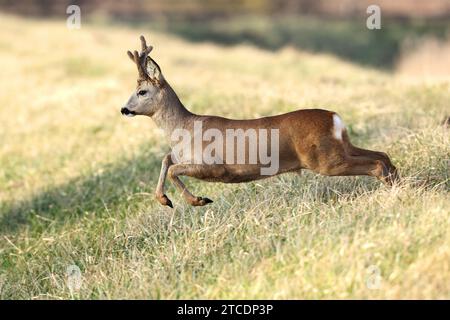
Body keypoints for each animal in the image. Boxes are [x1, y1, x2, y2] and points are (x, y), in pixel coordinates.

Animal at [121, 36, 400, 209]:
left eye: (142, 92)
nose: (124, 109)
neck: (184, 129)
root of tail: (335, 118)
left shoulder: (214, 166)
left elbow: (173, 168)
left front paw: (199, 200)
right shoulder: (183, 156)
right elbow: (167, 159)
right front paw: (164, 200)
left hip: (324, 159)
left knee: (376, 164)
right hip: (341, 147)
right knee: (383, 155)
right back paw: (400, 185)